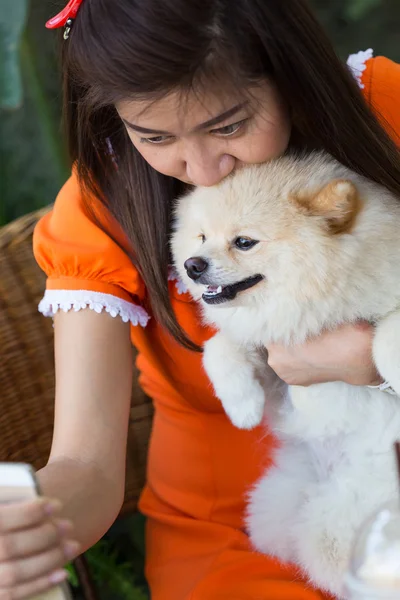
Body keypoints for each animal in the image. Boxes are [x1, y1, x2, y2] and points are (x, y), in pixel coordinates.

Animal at [172, 152, 400, 596]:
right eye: (202, 237)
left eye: (244, 242)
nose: (192, 265)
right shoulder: (274, 358)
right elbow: (219, 348)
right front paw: (242, 408)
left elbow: (387, 333)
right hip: (275, 506)